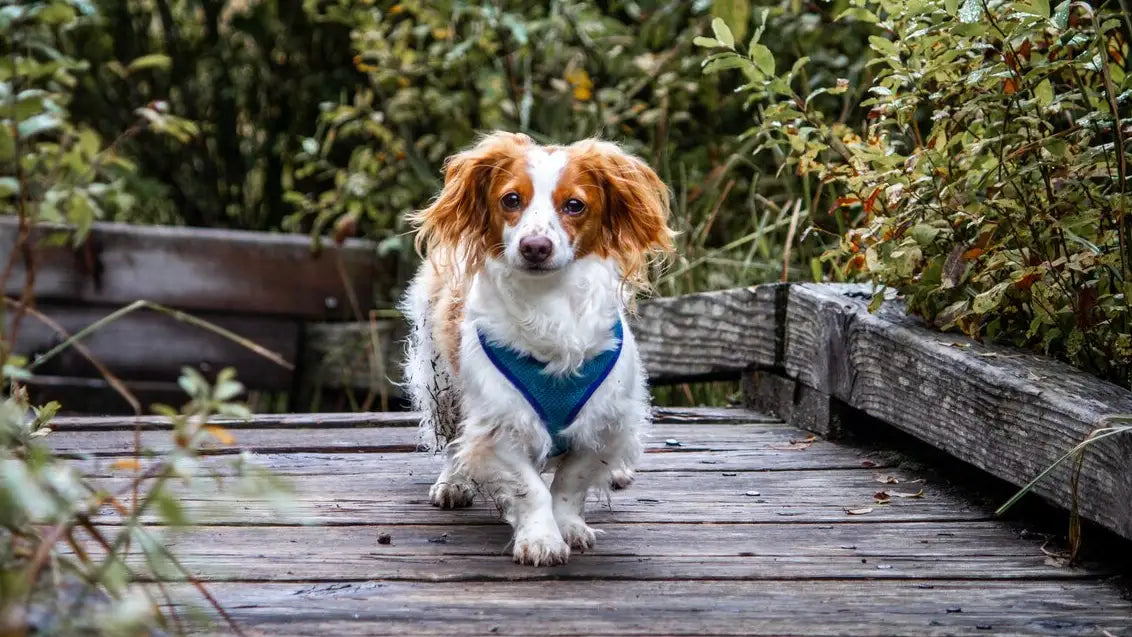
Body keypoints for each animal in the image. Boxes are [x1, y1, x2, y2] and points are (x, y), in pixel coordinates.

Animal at [400, 130, 670, 567]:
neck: (550, 303)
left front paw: (570, 527)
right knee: (454, 437)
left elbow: (570, 483)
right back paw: (454, 480)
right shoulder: (501, 422)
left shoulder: (602, 422)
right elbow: (531, 489)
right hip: (440, 380)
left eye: (574, 205)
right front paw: (542, 539)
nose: (536, 246)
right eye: (511, 199)